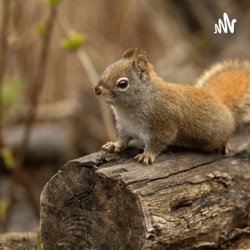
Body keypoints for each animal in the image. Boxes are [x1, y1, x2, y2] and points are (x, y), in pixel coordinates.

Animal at [94, 48, 250, 166]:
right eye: (107, 69)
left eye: (123, 84)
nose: (97, 90)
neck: (126, 110)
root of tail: (222, 104)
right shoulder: (125, 127)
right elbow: (123, 140)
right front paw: (114, 145)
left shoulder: (163, 126)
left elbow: (157, 143)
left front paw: (147, 155)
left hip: (213, 138)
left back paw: (225, 144)